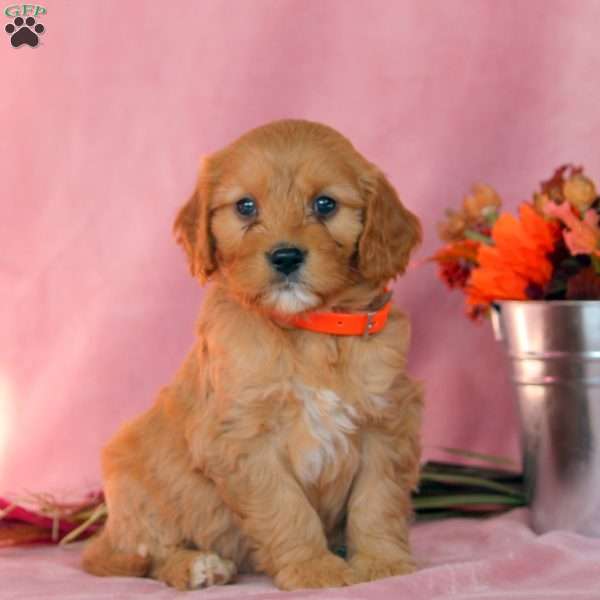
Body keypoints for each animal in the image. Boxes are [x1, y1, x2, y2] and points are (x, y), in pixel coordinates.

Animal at [82, 118, 424, 592]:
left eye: (325, 204)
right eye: (245, 207)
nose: (286, 256)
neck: (308, 331)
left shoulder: (387, 423)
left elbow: (377, 501)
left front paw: (381, 563)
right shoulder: (244, 440)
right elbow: (287, 509)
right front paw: (313, 568)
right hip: (134, 477)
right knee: (148, 556)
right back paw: (198, 566)